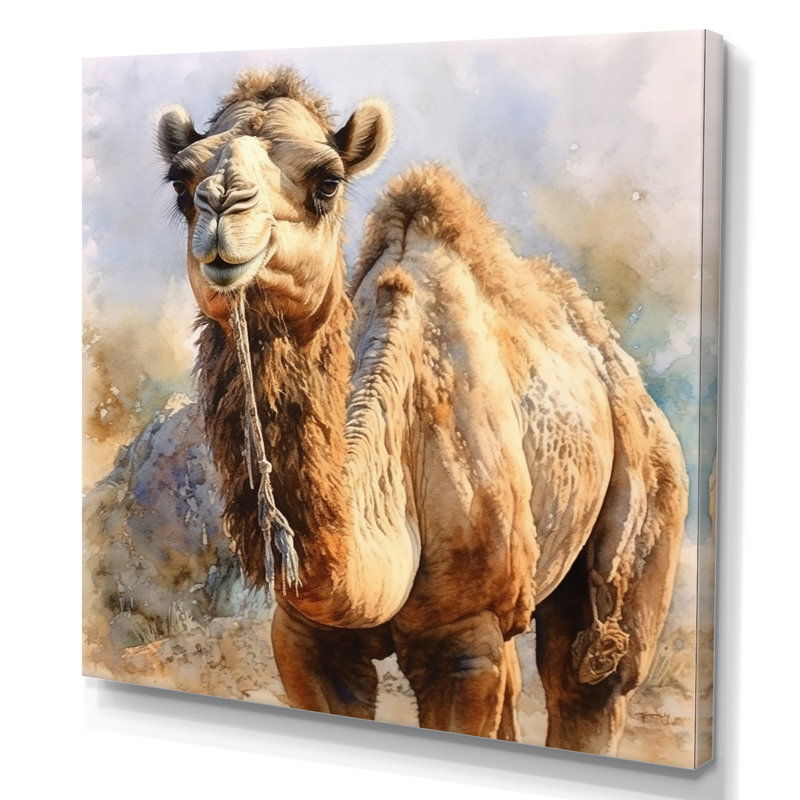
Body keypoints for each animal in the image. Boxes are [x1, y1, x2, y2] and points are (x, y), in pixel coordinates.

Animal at [156, 66, 688, 755]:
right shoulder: (304, 634)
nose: (223, 205)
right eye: (180, 183)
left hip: (649, 493)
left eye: (326, 182)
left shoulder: (463, 636)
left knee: (591, 677)